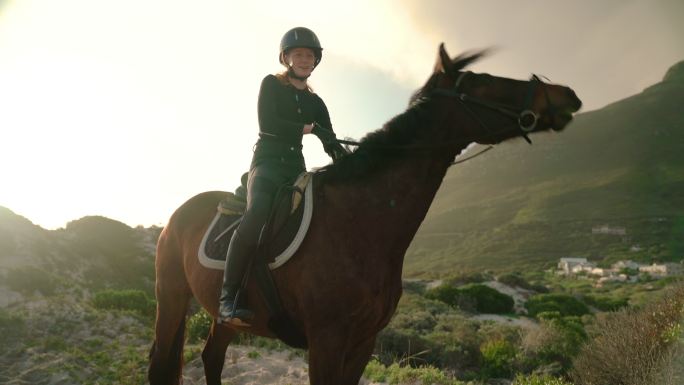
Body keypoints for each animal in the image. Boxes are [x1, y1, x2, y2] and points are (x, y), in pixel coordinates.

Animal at [150, 42, 584, 384]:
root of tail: (176, 216)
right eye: (485, 81)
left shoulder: (363, 342)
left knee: (212, 357)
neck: (360, 226)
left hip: (222, 317)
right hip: (171, 296)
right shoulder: (327, 340)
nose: (567, 95)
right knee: (161, 363)